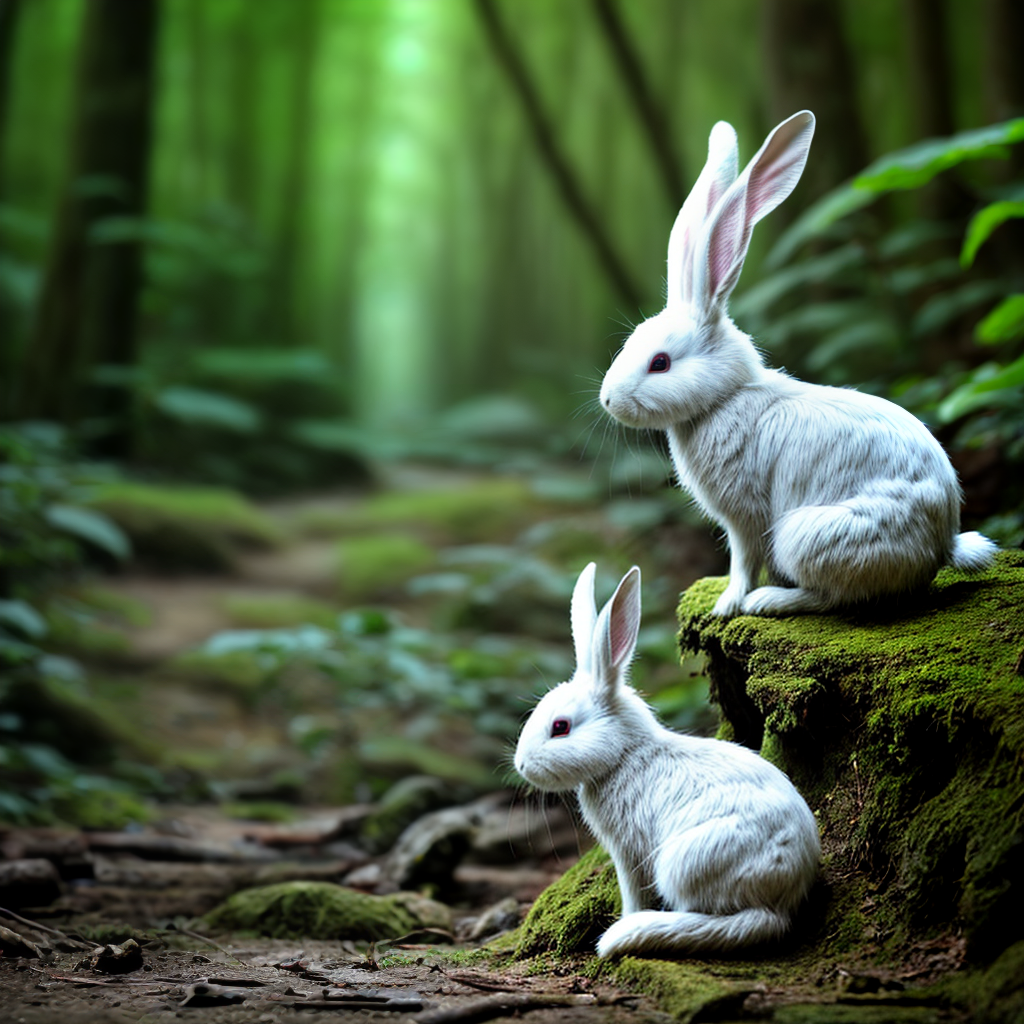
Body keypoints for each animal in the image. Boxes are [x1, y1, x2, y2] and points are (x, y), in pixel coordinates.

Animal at [514, 562, 820, 957]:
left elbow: (633, 892)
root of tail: (781, 905)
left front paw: (626, 918)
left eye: (560, 727)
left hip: (684, 862)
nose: (521, 765)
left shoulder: (629, 851)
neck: (624, 754)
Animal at [599, 110, 996, 617]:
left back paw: (768, 600)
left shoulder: (745, 515)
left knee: (833, 596)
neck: (725, 399)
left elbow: (743, 560)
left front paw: (726, 605)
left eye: (660, 363)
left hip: (807, 534)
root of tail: (942, 543)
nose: (608, 400)